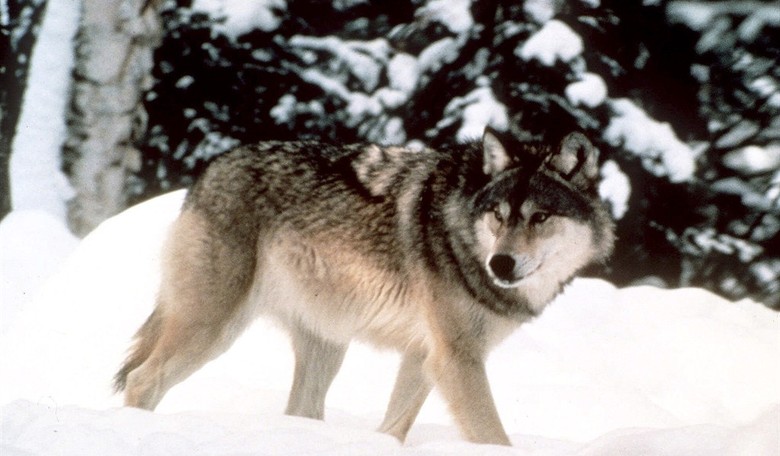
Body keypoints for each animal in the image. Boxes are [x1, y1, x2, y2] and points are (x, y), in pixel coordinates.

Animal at [114, 127, 614, 445]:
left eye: (540, 217)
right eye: (500, 215)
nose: (501, 263)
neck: (460, 226)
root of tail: (208, 171)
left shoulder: (425, 356)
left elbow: (392, 427)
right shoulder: (456, 359)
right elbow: (494, 437)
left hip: (326, 348)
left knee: (299, 411)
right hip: (213, 329)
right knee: (142, 381)